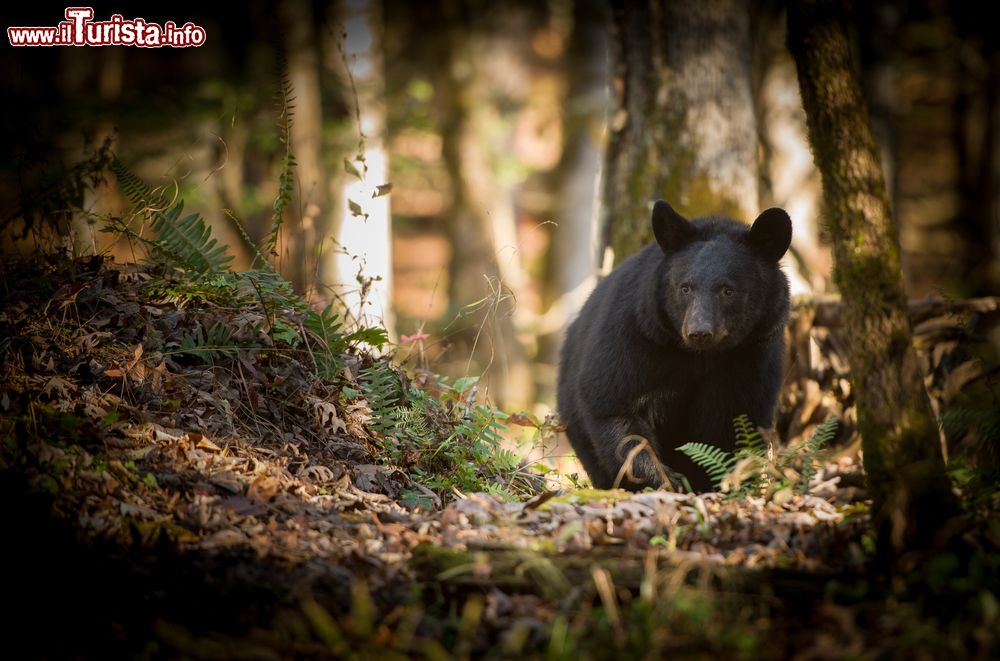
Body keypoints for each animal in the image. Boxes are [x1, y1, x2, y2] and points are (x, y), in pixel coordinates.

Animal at [556, 199, 788, 492]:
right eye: (685, 287)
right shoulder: (635, 334)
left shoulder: (752, 355)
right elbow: (613, 404)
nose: (699, 332)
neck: (700, 356)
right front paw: (664, 479)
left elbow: (733, 421)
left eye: (728, 290)